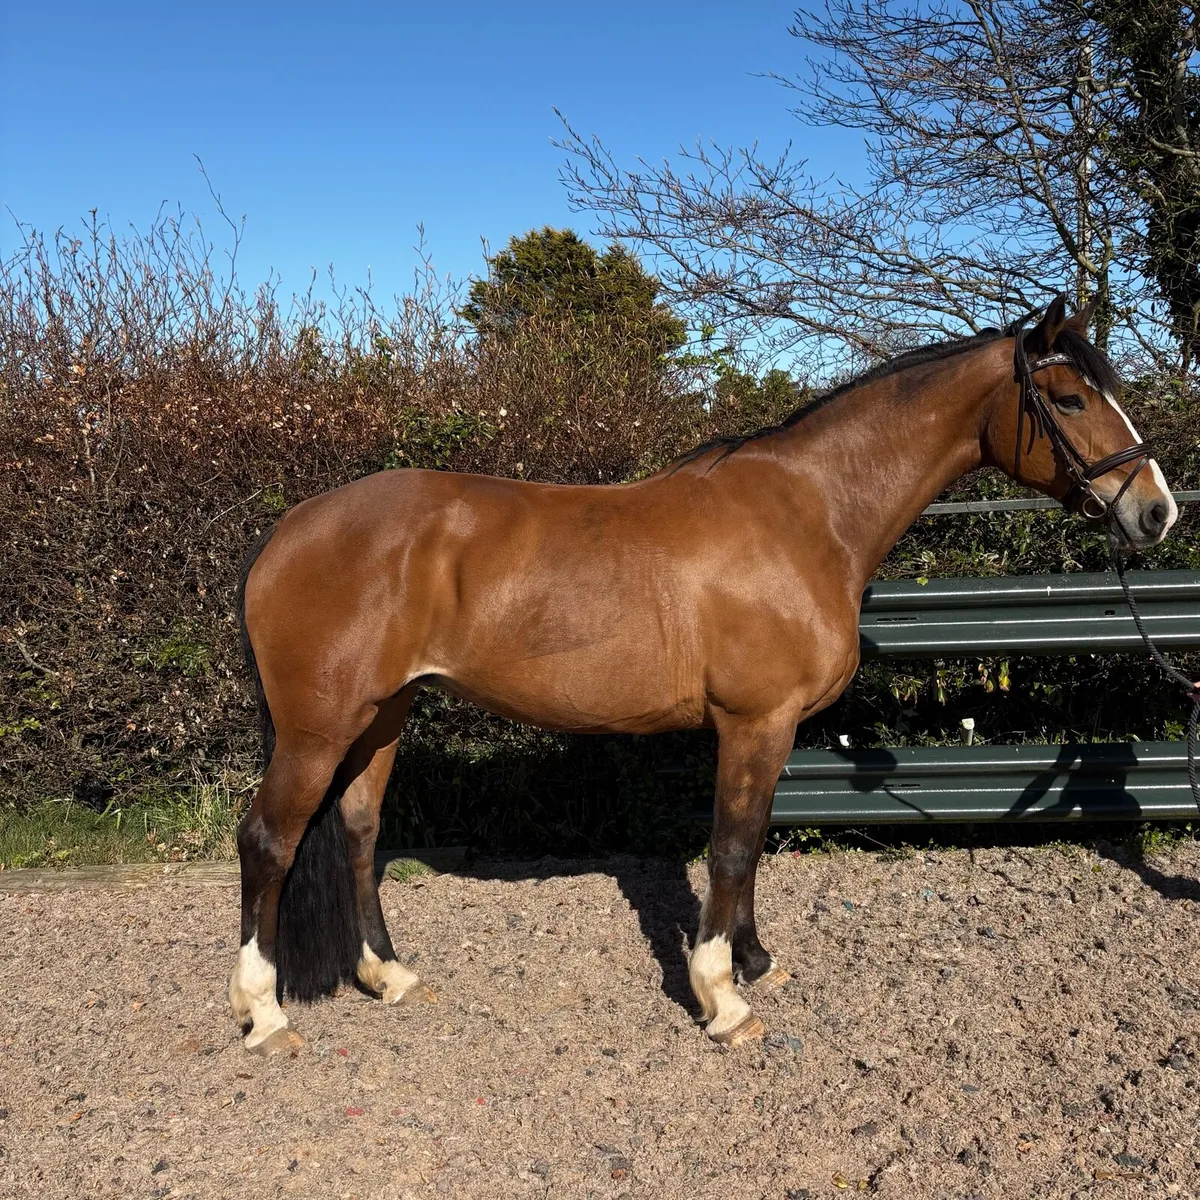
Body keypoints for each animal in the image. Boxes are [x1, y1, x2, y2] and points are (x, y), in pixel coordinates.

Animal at [229, 294, 1177, 1054]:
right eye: (1069, 397)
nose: (1157, 512)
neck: (807, 515)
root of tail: (288, 531)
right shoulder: (754, 721)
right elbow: (729, 848)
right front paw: (722, 997)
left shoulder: (772, 728)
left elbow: (751, 844)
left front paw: (755, 963)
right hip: (320, 728)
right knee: (269, 839)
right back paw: (266, 1015)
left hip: (384, 715)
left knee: (358, 830)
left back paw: (386, 975)